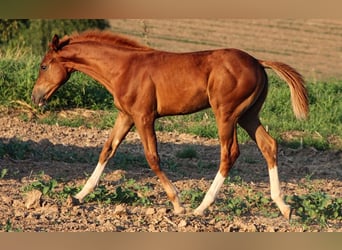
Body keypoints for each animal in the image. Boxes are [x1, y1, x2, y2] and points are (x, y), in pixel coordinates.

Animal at [32, 29, 308, 219]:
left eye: (44, 66)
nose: (36, 97)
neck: (124, 68)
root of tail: (259, 62)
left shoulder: (144, 117)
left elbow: (152, 157)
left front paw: (177, 203)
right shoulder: (125, 116)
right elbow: (107, 150)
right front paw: (78, 196)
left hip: (227, 114)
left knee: (229, 153)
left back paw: (201, 207)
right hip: (248, 115)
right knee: (268, 145)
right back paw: (283, 206)